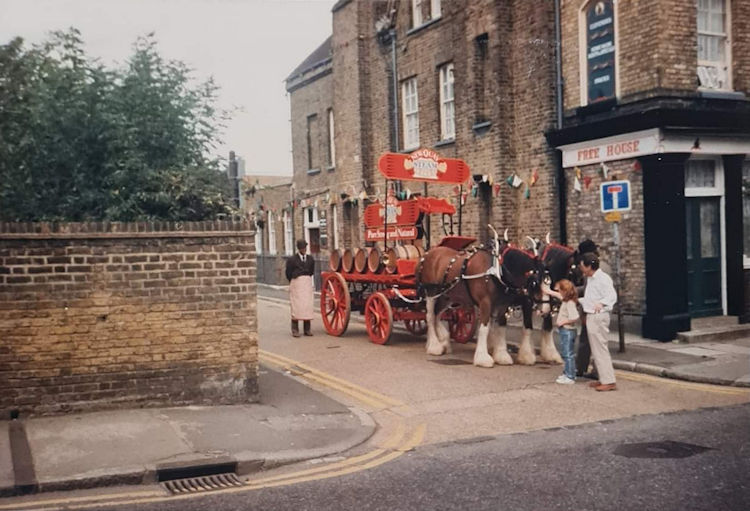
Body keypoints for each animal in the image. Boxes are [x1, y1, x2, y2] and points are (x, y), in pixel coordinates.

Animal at [418, 243, 560, 368]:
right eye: (535, 283)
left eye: (550, 283)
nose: (546, 309)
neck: (497, 271)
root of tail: (428, 253)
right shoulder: (485, 302)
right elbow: (485, 328)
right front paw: (483, 358)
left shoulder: (503, 304)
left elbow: (501, 327)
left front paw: (501, 355)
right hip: (431, 293)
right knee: (430, 316)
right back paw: (434, 346)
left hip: (447, 296)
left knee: (437, 314)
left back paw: (442, 342)